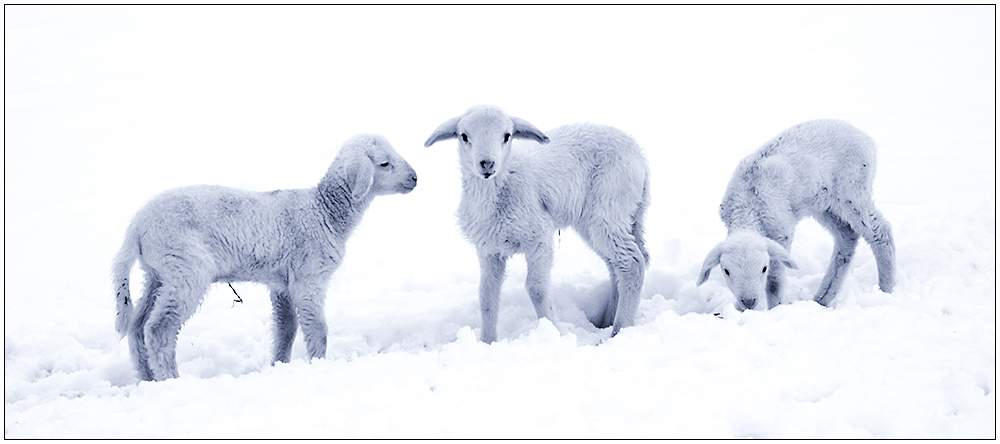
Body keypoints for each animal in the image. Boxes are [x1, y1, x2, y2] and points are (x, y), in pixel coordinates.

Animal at [111, 134, 416, 380]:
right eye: (384, 163)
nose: (415, 178)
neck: (323, 211)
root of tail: (137, 226)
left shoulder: (281, 282)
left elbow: (286, 328)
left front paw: (279, 365)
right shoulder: (309, 276)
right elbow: (317, 328)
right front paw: (318, 364)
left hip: (158, 274)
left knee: (137, 326)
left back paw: (147, 376)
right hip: (186, 267)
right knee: (159, 329)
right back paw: (171, 379)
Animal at [424, 106, 652, 342]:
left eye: (507, 136)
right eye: (464, 136)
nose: (487, 164)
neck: (503, 184)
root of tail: (640, 157)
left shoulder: (538, 237)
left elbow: (536, 289)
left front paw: (552, 332)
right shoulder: (489, 250)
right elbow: (486, 295)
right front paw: (487, 341)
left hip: (608, 209)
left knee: (632, 264)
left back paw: (619, 330)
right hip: (606, 220)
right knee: (621, 264)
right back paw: (608, 321)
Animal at [696, 119, 900, 310]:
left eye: (764, 268)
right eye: (726, 270)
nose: (748, 301)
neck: (748, 206)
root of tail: (865, 136)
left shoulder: (781, 231)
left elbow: (774, 283)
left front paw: (775, 308)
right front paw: (738, 311)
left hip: (852, 189)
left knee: (880, 232)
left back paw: (886, 289)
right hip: (825, 204)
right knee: (847, 236)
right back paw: (823, 297)